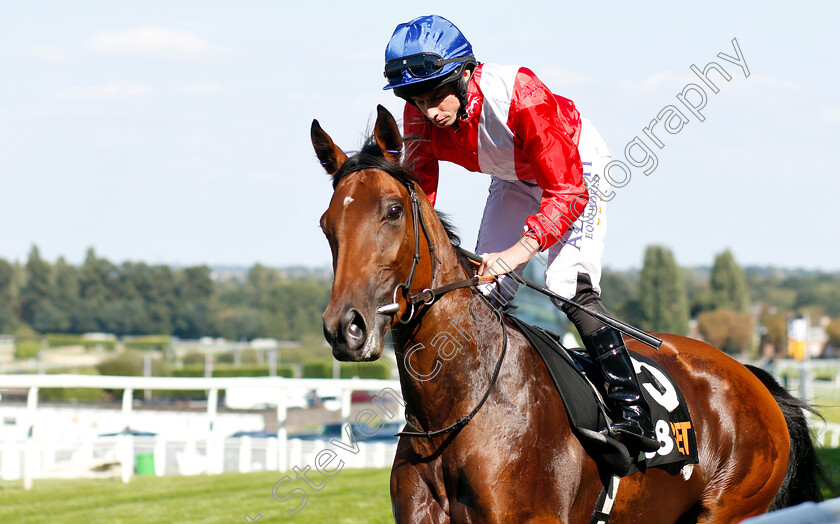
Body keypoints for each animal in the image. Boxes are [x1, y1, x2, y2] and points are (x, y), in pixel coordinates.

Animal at [310, 104, 820, 520]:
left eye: (393, 210)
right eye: (327, 223)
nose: (346, 327)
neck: (457, 410)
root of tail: (753, 379)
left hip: (730, 507)